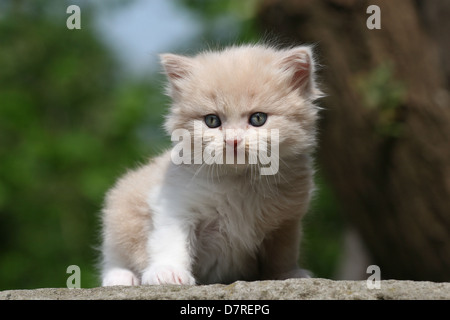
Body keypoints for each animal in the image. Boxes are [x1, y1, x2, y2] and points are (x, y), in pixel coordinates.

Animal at [100, 43, 322, 286]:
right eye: (212, 121)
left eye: (258, 119)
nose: (232, 140)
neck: (240, 179)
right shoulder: (174, 201)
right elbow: (170, 239)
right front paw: (167, 272)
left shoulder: (286, 220)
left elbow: (283, 251)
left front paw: (287, 274)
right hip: (121, 211)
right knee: (113, 255)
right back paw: (121, 277)